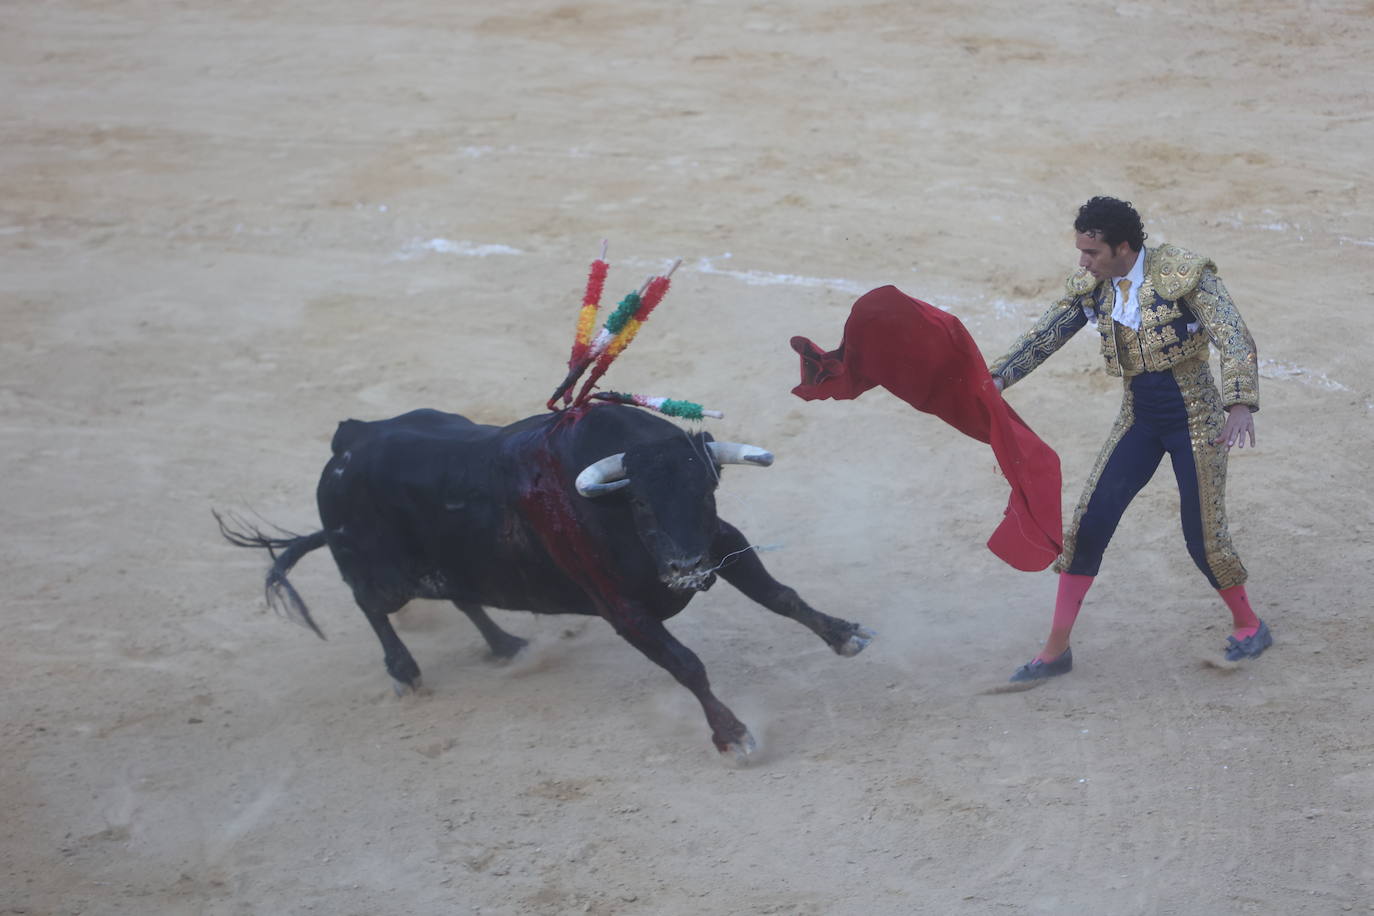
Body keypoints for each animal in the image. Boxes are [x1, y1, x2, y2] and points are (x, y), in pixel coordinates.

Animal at [219, 403, 873, 758]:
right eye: (641, 502)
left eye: (707, 491)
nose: (688, 569)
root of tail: (348, 441)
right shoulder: (620, 607)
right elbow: (686, 664)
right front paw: (732, 735)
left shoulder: (722, 542)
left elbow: (779, 595)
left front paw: (845, 634)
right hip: (380, 574)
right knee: (371, 606)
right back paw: (406, 674)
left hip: (458, 563)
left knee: (463, 597)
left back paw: (507, 646)